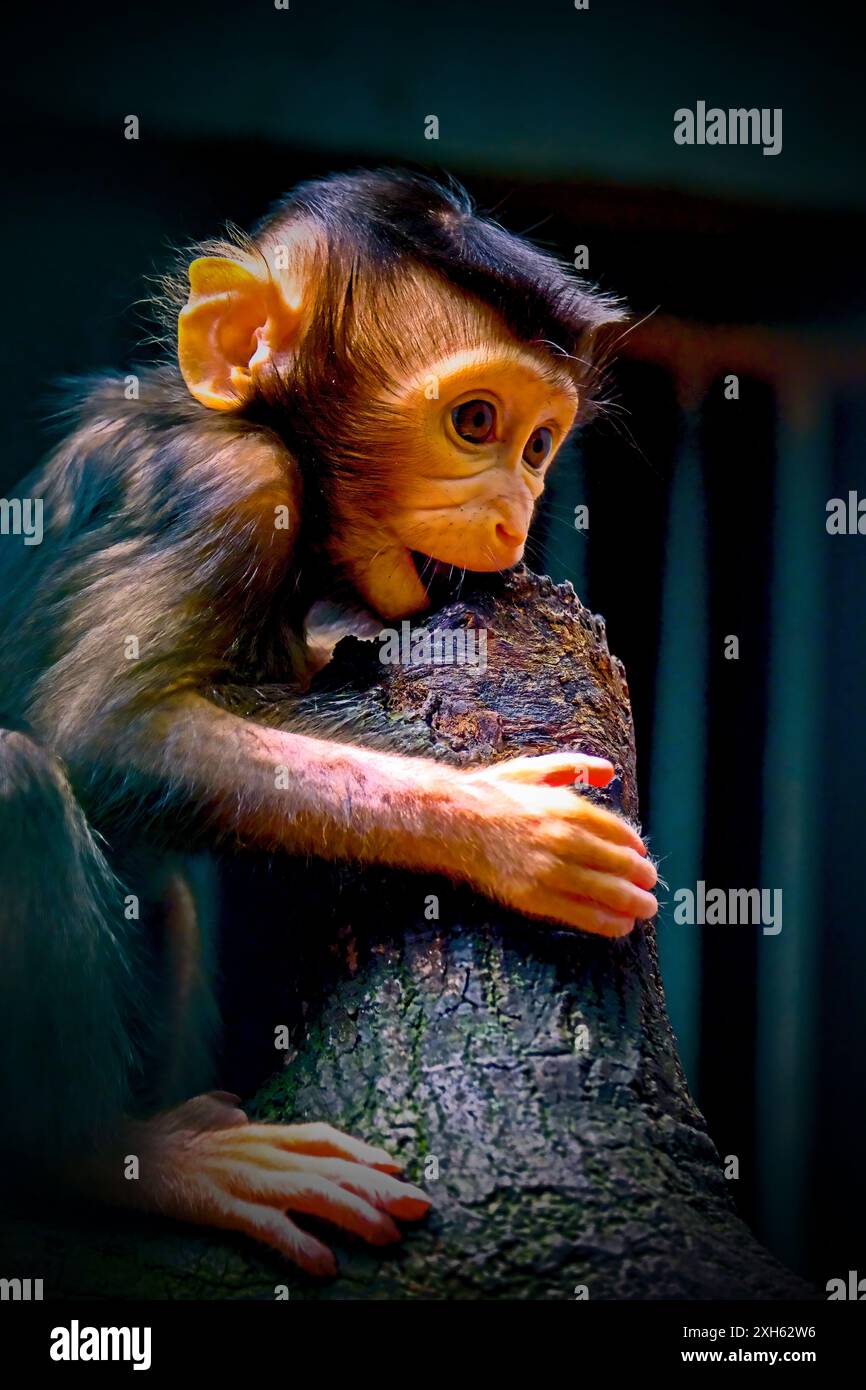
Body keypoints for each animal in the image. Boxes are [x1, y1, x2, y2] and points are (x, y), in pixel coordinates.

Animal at [0, 169, 658, 1275]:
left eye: (537, 445)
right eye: (473, 422)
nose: (514, 518)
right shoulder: (227, 488)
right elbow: (98, 731)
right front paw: (507, 832)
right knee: (16, 776)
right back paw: (110, 1160)